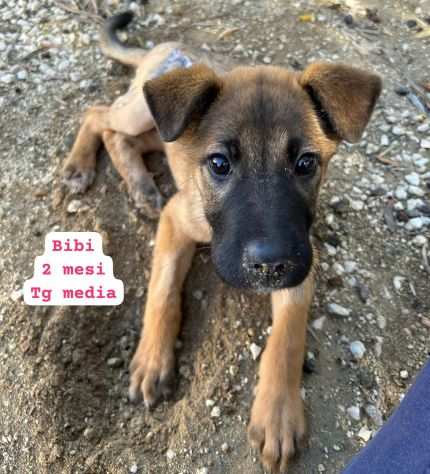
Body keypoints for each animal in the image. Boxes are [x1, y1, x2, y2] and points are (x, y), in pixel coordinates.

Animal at [62, 12, 382, 472]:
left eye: (306, 163)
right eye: (219, 163)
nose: (270, 265)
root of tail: (168, 47)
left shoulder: (302, 256)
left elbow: (287, 337)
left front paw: (278, 414)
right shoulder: (177, 218)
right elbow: (163, 291)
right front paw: (153, 360)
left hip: (162, 132)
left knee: (120, 136)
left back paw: (139, 184)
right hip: (142, 112)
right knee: (98, 114)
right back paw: (83, 167)